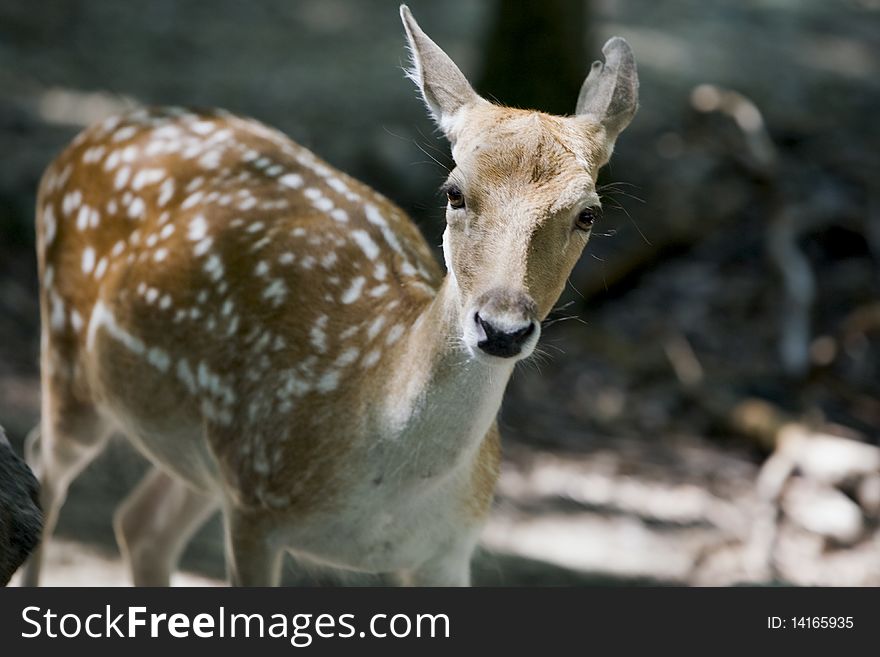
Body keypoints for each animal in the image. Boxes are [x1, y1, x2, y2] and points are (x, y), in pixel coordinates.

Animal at [22, 6, 640, 584]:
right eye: (454, 192)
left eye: (588, 213)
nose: (501, 327)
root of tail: (90, 133)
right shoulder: (256, 508)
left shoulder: (449, 550)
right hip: (71, 358)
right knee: (42, 468)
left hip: (205, 455)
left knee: (141, 522)